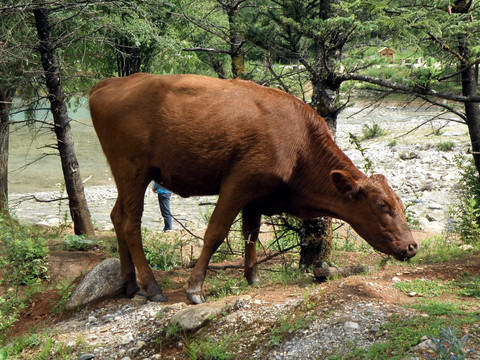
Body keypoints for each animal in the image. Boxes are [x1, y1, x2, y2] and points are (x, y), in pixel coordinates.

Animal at [89, 73, 416, 304]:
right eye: (382, 205)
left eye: (400, 204)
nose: (412, 246)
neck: (298, 141)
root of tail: (107, 84)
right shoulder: (239, 183)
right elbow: (216, 233)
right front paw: (195, 289)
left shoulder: (257, 195)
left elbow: (251, 234)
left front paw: (253, 278)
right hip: (134, 171)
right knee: (131, 223)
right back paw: (151, 286)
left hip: (125, 177)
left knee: (117, 216)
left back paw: (130, 284)